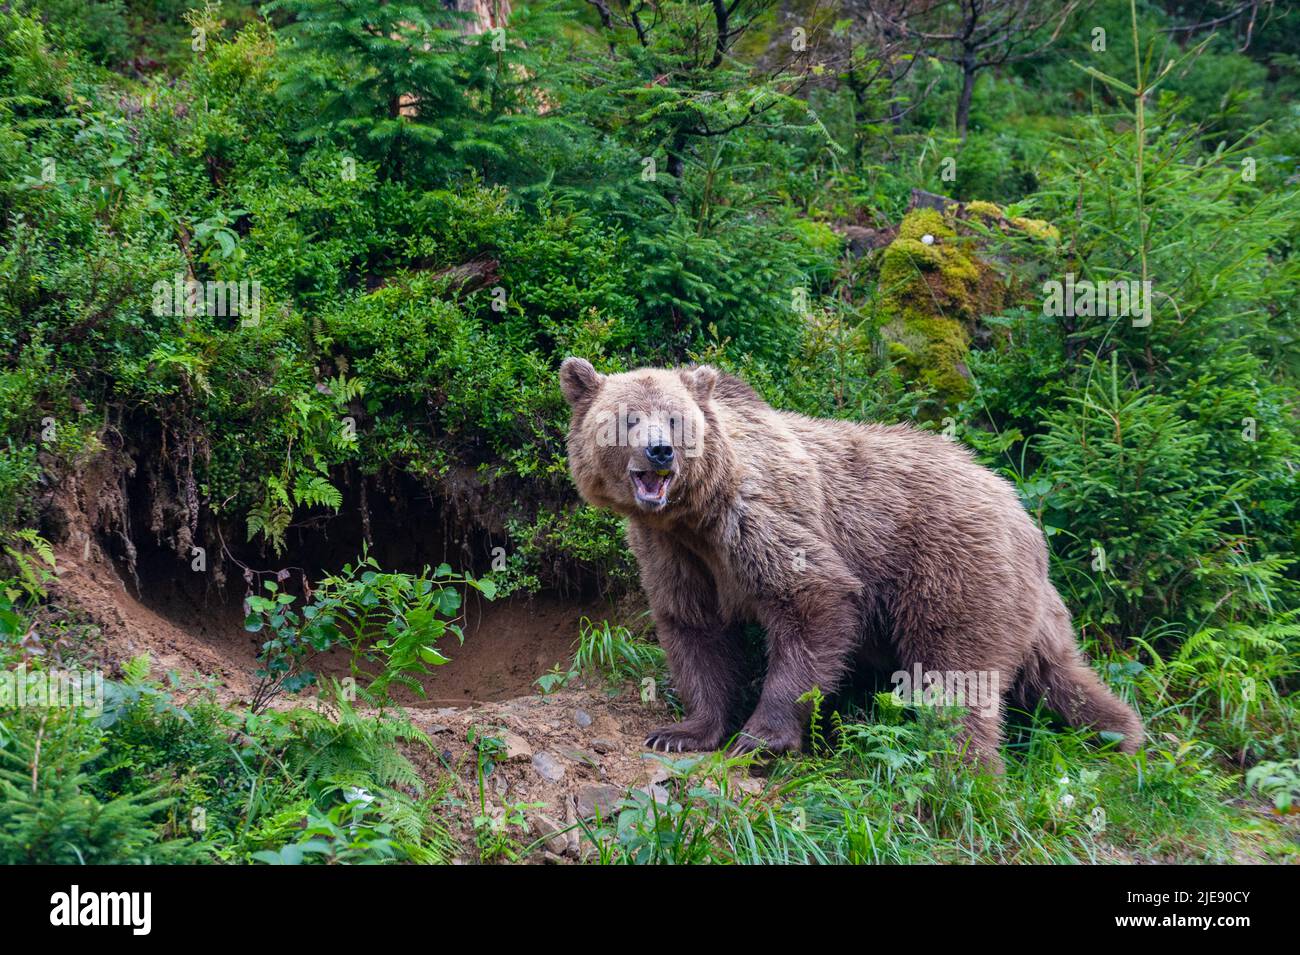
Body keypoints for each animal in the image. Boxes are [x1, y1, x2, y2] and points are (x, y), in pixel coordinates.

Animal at [559, 357, 1143, 771]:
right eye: (628, 418)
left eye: (677, 419)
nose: (660, 451)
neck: (696, 513)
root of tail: (1020, 513)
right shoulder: (675, 552)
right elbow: (694, 630)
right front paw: (683, 731)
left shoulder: (760, 522)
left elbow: (812, 602)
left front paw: (761, 737)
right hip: (1030, 607)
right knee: (1060, 675)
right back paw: (1120, 735)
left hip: (954, 570)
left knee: (958, 675)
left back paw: (963, 770)